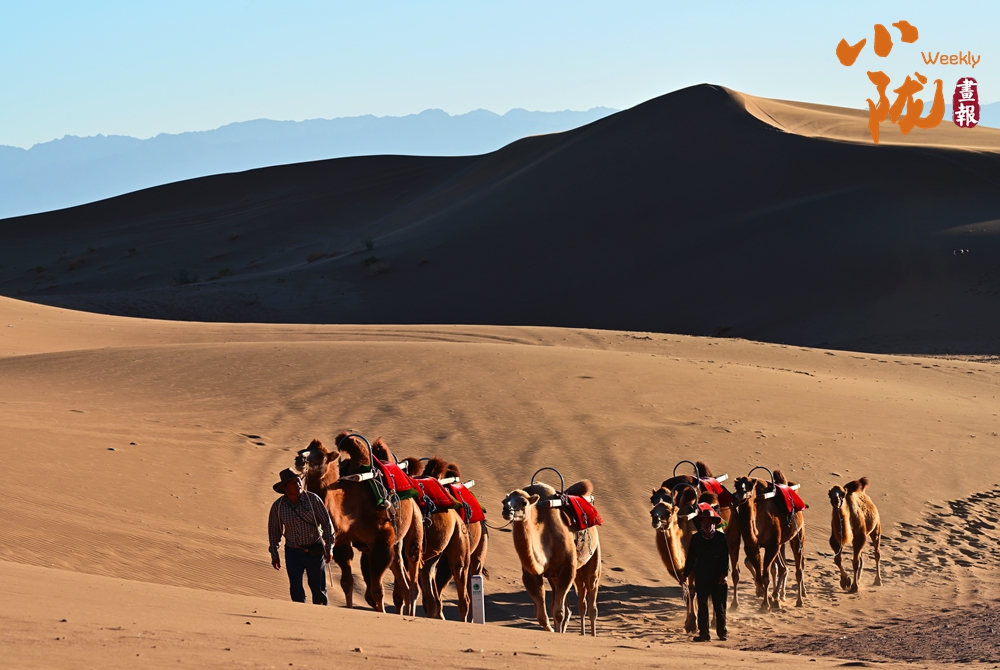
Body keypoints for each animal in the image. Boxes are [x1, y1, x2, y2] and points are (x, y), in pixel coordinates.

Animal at [293, 434, 423, 614]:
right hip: (389, 545)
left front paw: (382, 613)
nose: (299, 459)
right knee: (403, 579)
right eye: (302, 450)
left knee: (412, 573)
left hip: (414, 524)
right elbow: (347, 583)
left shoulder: (382, 539)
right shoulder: (342, 541)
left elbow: (377, 590)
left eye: (321, 456)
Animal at [501, 480, 601, 636]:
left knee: (591, 599)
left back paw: (591, 635)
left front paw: (557, 631)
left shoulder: (567, 568)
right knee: (576, 604)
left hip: (593, 558)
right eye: (504, 501)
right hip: (557, 577)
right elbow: (542, 615)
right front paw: (553, 631)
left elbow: (559, 612)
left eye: (524, 502)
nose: (506, 510)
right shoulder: (532, 574)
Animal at [732, 470, 806, 611]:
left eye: (750, 486)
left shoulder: (772, 545)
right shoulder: (752, 546)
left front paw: (765, 604)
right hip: (780, 544)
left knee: (798, 569)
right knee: (783, 568)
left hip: (798, 535)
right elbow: (760, 576)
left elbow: (765, 577)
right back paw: (777, 596)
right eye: (736, 486)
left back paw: (799, 600)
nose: (739, 495)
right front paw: (768, 598)